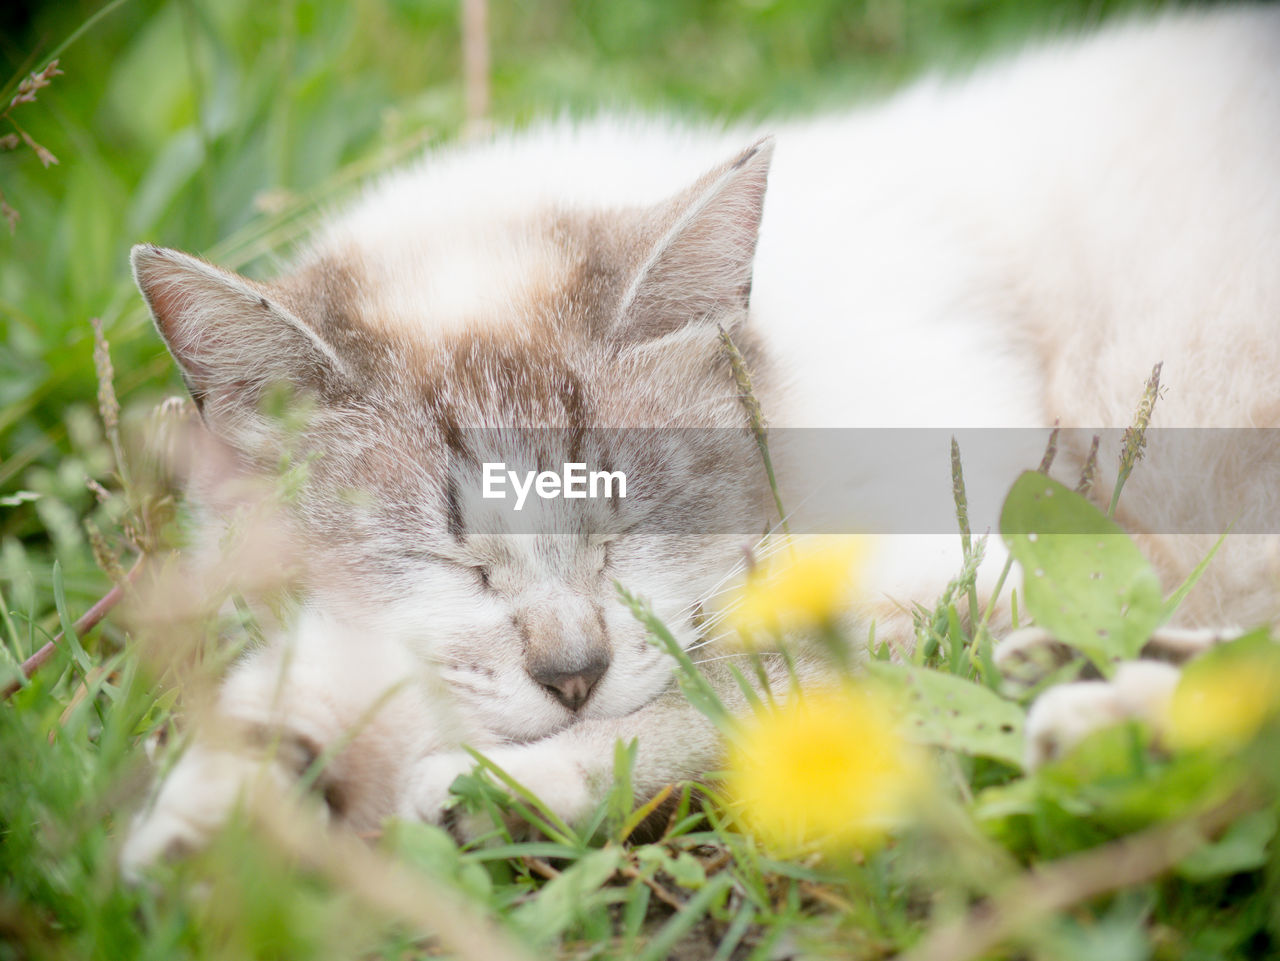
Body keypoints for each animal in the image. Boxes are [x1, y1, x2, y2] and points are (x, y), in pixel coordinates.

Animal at [120, 5, 1280, 870]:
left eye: (625, 527)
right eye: (450, 562)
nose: (572, 674)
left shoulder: (942, 579)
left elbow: (716, 696)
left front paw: (493, 785)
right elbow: (329, 677)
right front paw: (224, 816)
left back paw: (1094, 717)